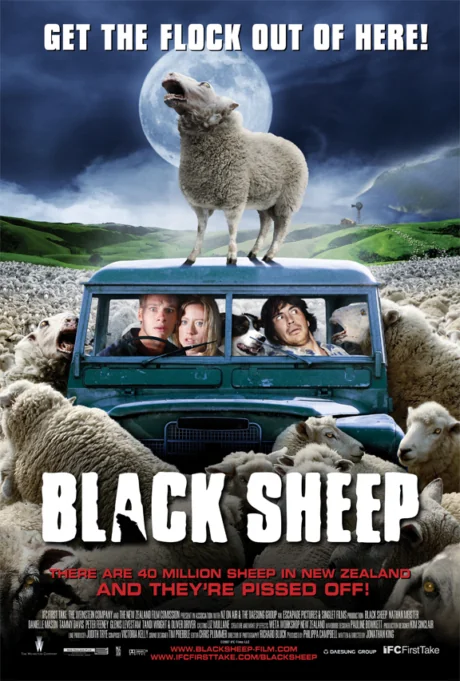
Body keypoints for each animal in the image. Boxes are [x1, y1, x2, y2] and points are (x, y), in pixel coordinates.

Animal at [162, 72, 308, 264]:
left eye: (206, 85)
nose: (170, 73)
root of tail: (293, 145)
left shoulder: (234, 197)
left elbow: (232, 228)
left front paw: (231, 257)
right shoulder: (200, 205)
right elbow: (201, 230)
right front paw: (191, 257)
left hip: (287, 199)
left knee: (281, 227)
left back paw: (269, 255)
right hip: (265, 200)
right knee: (266, 223)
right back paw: (254, 252)